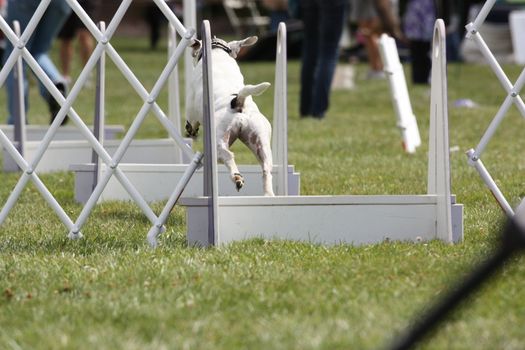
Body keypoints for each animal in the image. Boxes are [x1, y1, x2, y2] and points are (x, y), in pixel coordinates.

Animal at [184, 35, 274, 197]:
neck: (217, 52)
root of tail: (238, 102)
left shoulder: (191, 114)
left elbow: (192, 124)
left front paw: (191, 132)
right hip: (260, 142)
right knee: (266, 168)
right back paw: (268, 194)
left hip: (217, 144)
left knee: (228, 156)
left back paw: (237, 177)